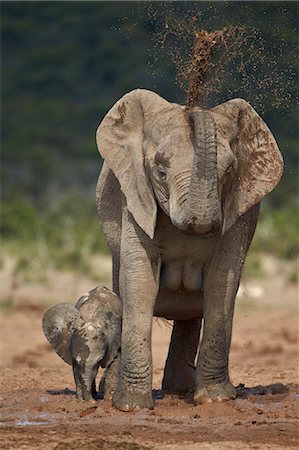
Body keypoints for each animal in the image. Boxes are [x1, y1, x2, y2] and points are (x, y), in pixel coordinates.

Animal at [95, 88, 284, 412]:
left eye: (230, 171)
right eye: (160, 172)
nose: (193, 109)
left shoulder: (240, 209)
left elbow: (222, 281)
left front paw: (215, 400)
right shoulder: (134, 196)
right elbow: (140, 280)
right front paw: (132, 406)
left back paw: (180, 390)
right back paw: (112, 395)